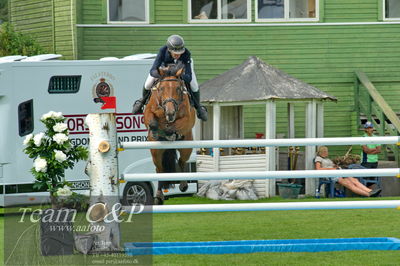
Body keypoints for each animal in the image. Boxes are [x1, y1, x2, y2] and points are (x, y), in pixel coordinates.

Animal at [144, 63, 197, 205]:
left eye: (178, 89)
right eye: (161, 89)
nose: (170, 113)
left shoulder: (187, 119)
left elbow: (175, 125)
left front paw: (170, 133)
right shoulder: (148, 112)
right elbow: (152, 121)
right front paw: (156, 132)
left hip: (187, 147)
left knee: (182, 161)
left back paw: (183, 185)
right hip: (156, 152)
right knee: (160, 170)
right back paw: (158, 195)